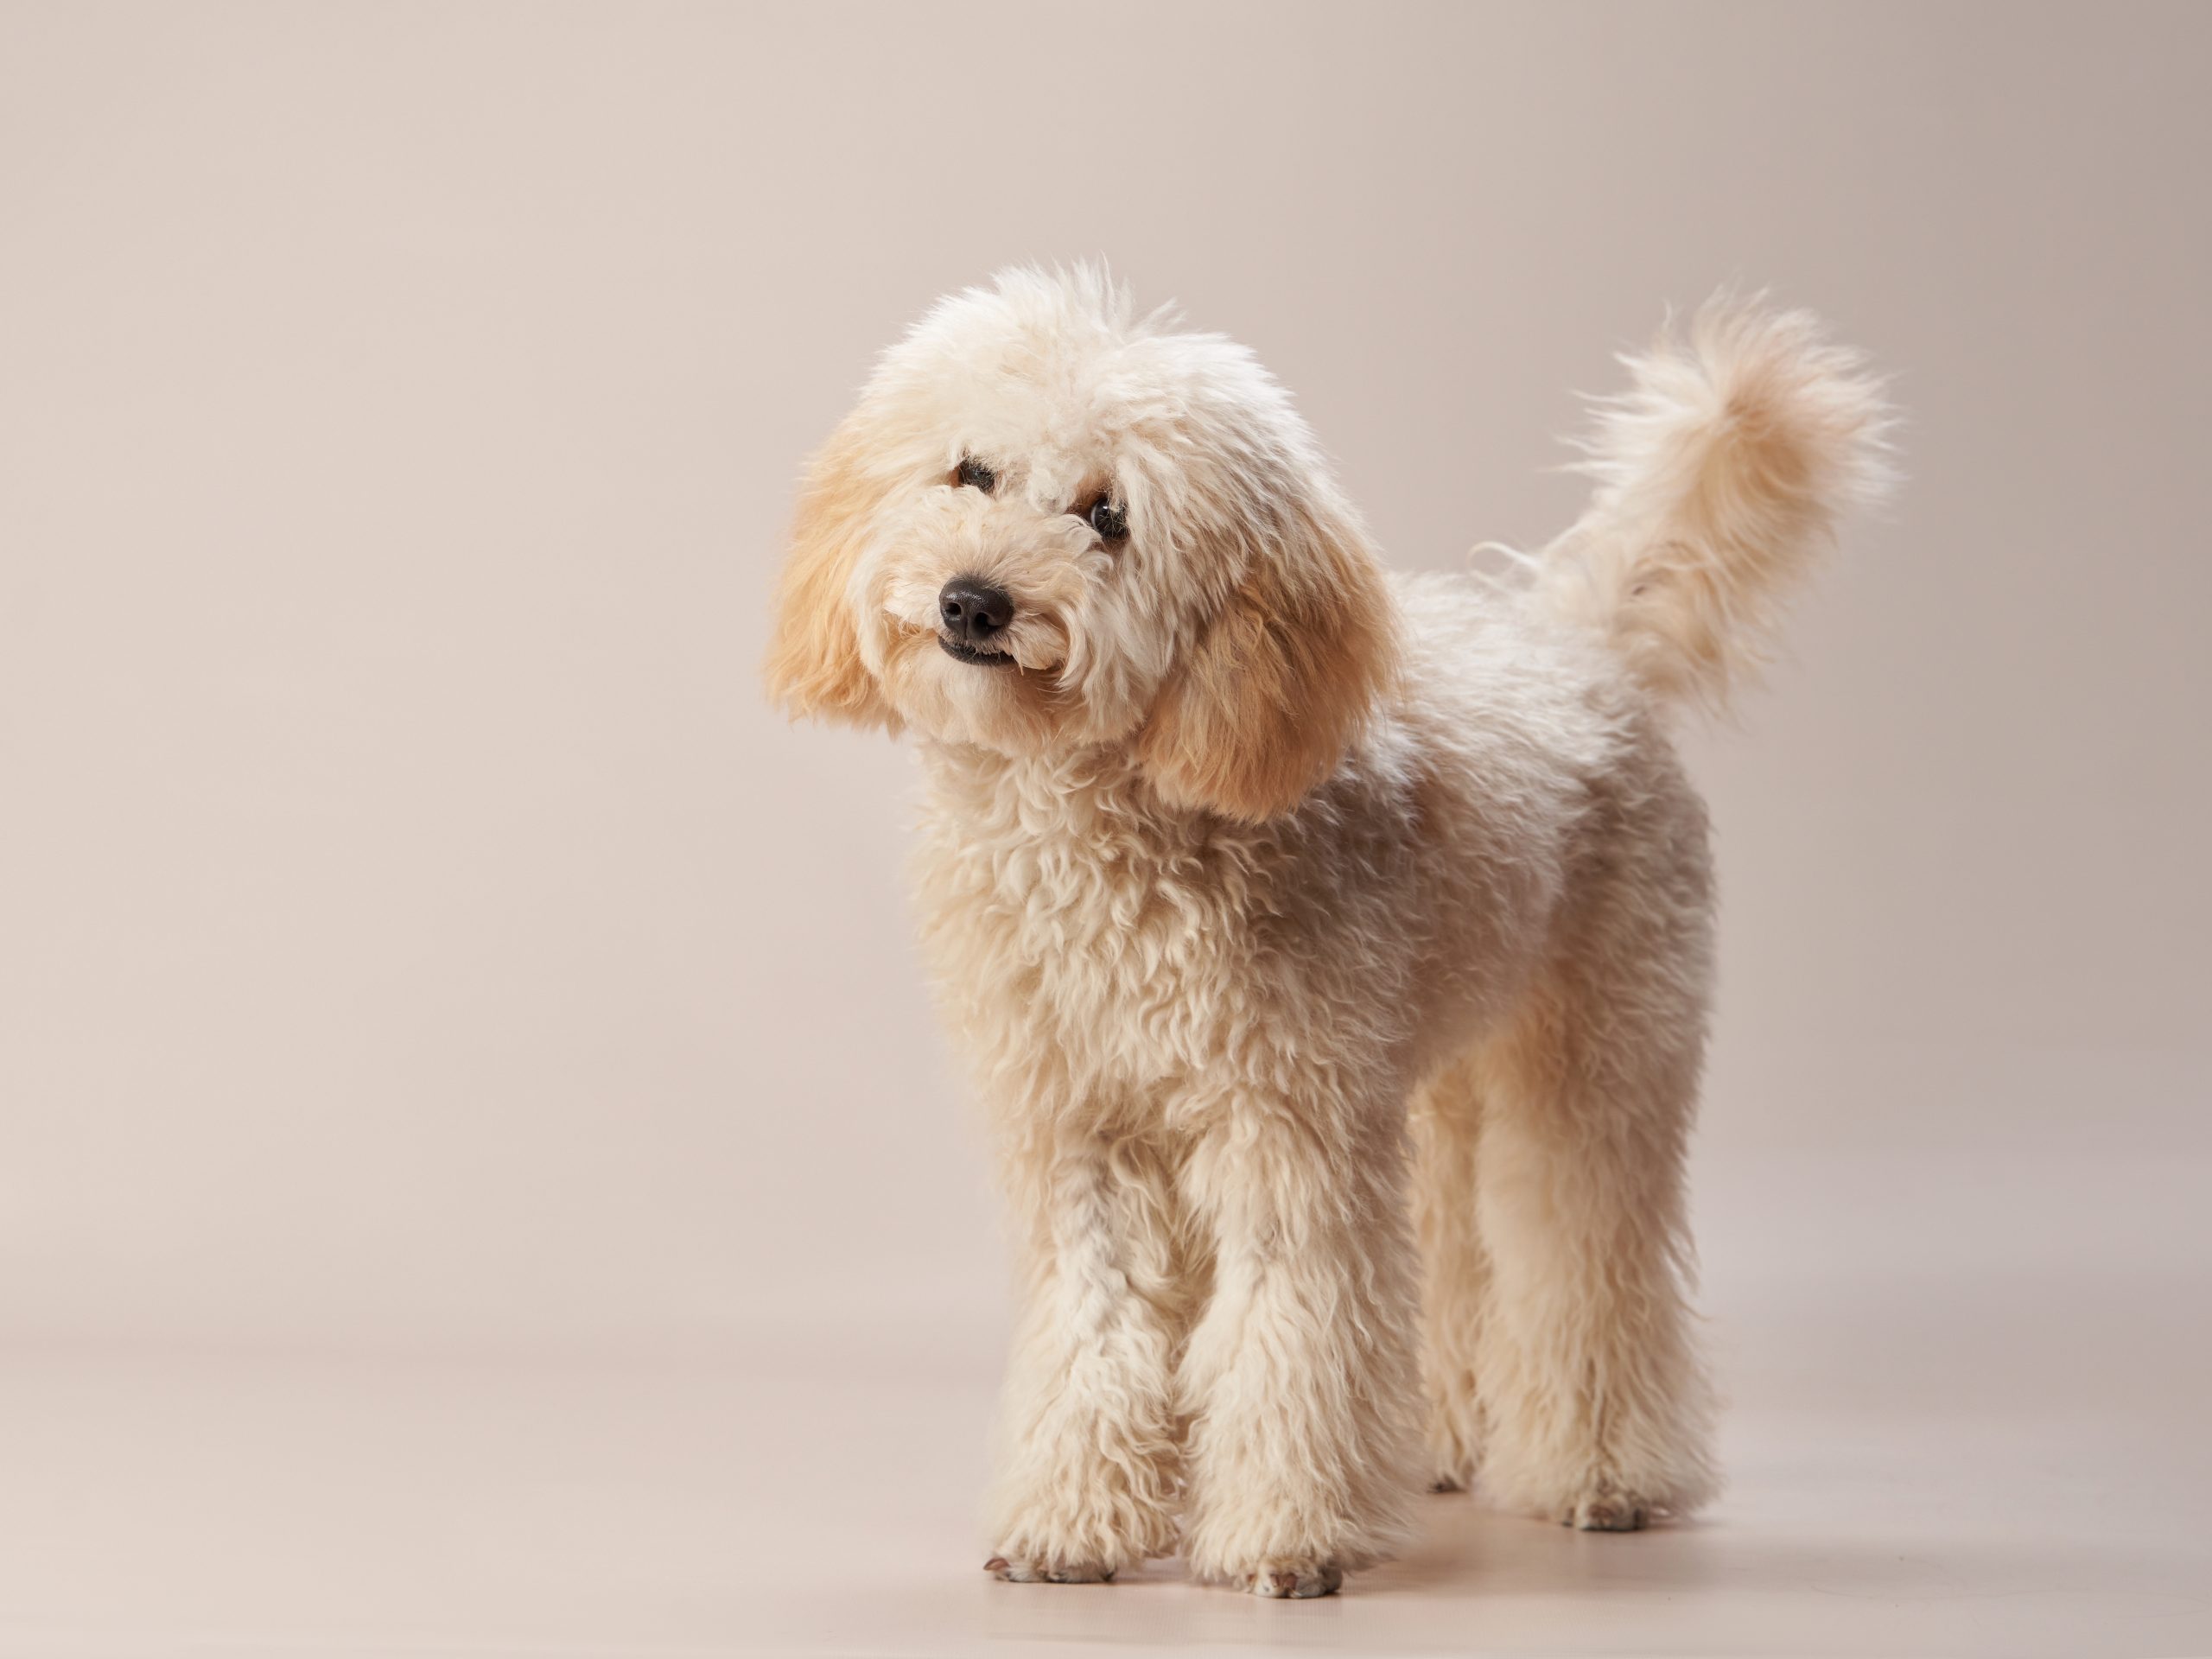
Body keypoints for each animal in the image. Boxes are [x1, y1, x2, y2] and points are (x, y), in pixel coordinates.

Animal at [760, 266, 1885, 1601]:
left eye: (1107, 516)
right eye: (971, 473)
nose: (973, 602)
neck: (1107, 826)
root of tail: (1576, 634)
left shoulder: (1280, 1121)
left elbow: (1286, 1320)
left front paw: (1283, 1538)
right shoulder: (1084, 1126)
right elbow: (1094, 1324)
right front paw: (1073, 1524)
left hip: (1596, 1052)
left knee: (1580, 1248)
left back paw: (1603, 1473)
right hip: (1427, 1076)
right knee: (1448, 1255)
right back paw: (1435, 1443)